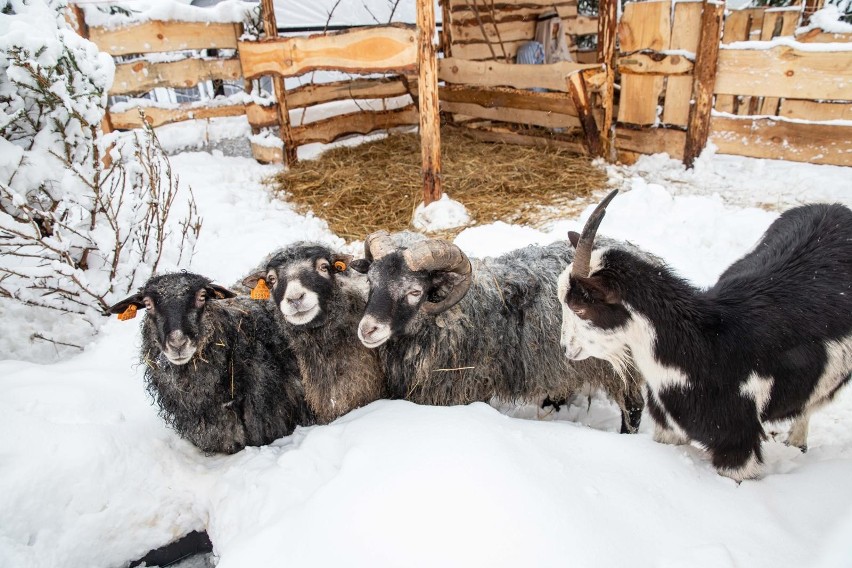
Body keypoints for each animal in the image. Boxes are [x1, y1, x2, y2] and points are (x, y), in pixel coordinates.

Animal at [556, 190, 852, 480]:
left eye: (579, 308)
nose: (566, 348)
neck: (703, 346)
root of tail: (833, 207)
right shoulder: (668, 427)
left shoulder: (737, 444)